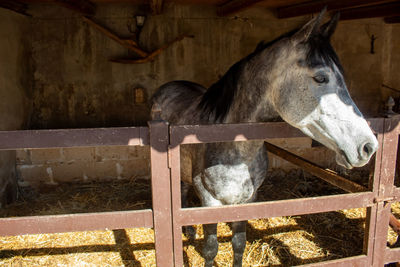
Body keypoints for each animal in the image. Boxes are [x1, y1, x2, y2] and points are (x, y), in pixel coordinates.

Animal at [150, 10, 378, 267]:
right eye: (320, 78)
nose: (368, 146)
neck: (234, 149)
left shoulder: (248, 199)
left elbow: (239, 244)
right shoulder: (210, 202)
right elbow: (210, 249)